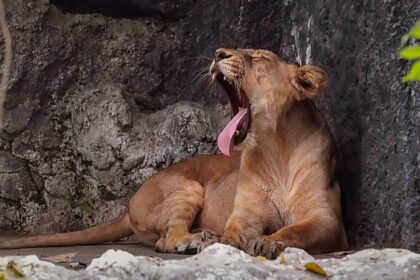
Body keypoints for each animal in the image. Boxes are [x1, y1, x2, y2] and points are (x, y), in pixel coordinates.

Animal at [0, 47, 348, 258]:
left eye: (259, 58)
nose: (219, 52)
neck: (275, 147)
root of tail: (129, 205)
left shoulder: (328, 221)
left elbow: (297, 229)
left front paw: (268, 241)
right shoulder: (244, 215)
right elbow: (234, 231)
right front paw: (224, 243)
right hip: (186, 186)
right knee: (165, 239)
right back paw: (195, 240)